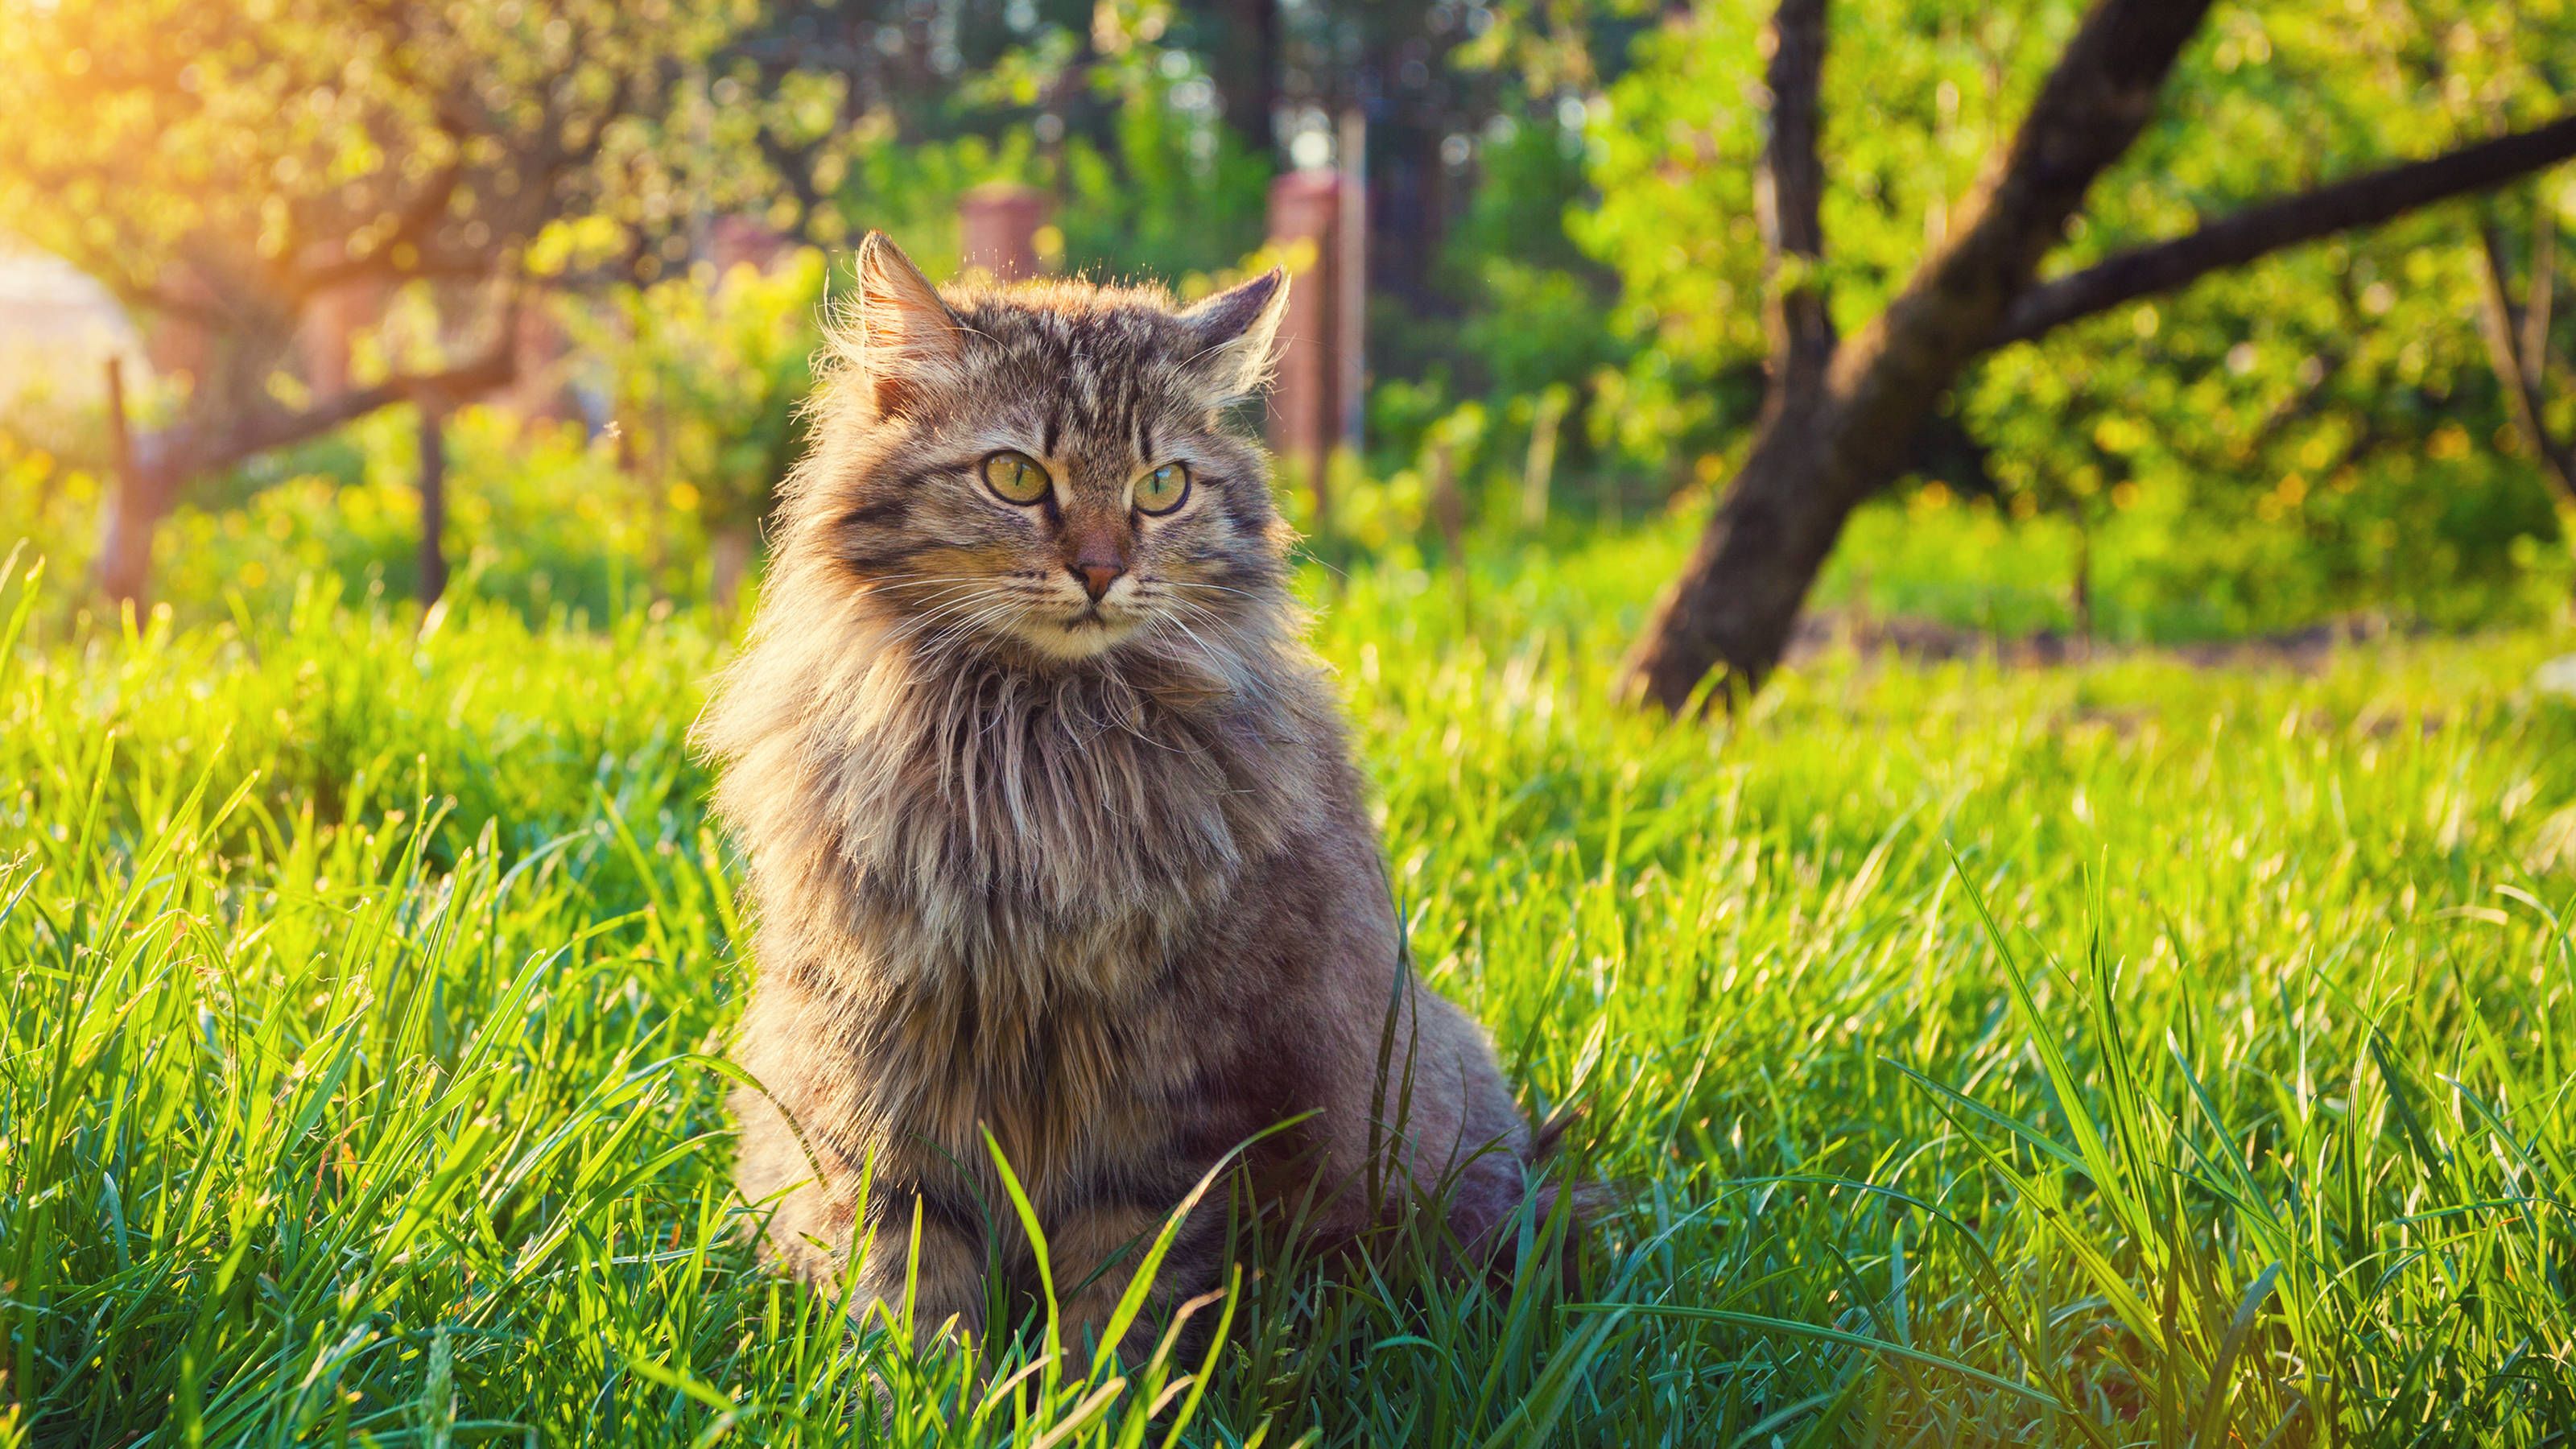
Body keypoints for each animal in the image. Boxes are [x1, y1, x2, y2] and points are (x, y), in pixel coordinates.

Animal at [696, 230, 1555, 1351]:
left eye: (1160, 488)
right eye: (1015, 475)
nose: (1101, 570)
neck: (1033, 747)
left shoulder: (1165, 1093)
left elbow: (1122, 1294)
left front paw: (1089, 1387)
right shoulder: (876, 1061)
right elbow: (907, 1279)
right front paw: (930, 1385)